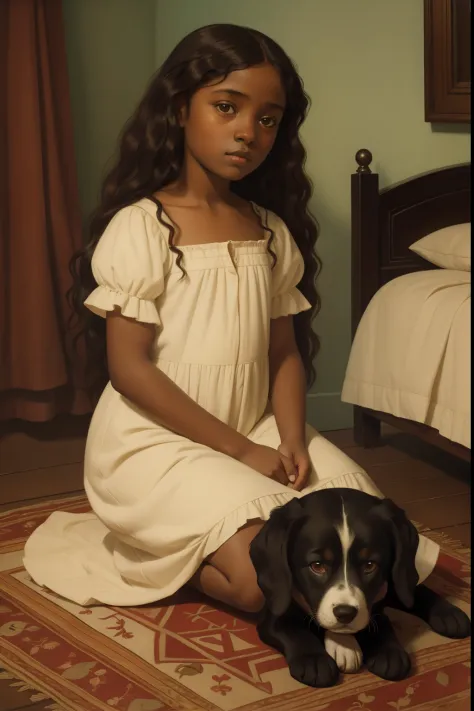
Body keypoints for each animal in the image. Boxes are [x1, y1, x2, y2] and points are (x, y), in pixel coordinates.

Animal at [248, 490, 470, 688]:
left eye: (370, 565)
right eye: (317, 566)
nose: (345, 613)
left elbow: (390, 606)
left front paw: (385, 648)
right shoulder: (276, 601)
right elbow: (291, 628)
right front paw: (314, 659)